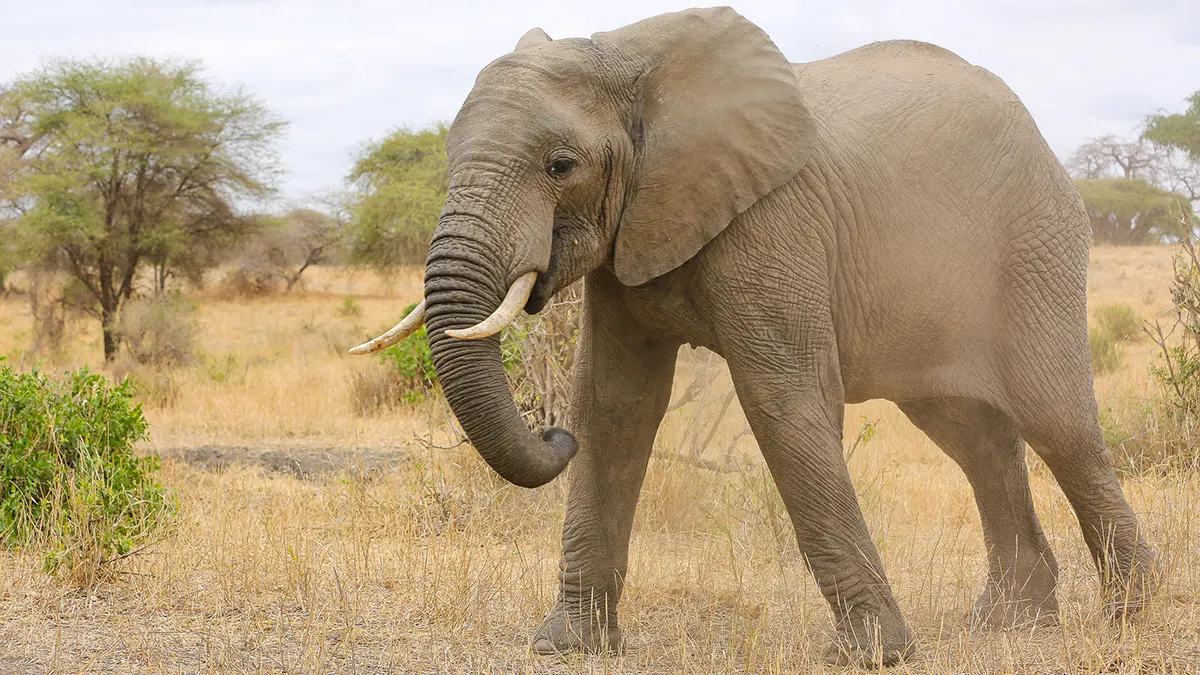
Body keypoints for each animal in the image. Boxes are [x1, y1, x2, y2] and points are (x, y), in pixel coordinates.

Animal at [350, 6, 1156, 667]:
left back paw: (1131, 615)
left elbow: (782, 402)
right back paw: (1013, 624)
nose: (550, 436)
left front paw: (874, 655)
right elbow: (613, 407)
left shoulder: (773, 222)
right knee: (975, 438)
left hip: (1033, 244)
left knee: (1058, 422)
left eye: (560, 165)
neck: (627, 55)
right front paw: (565, 645)